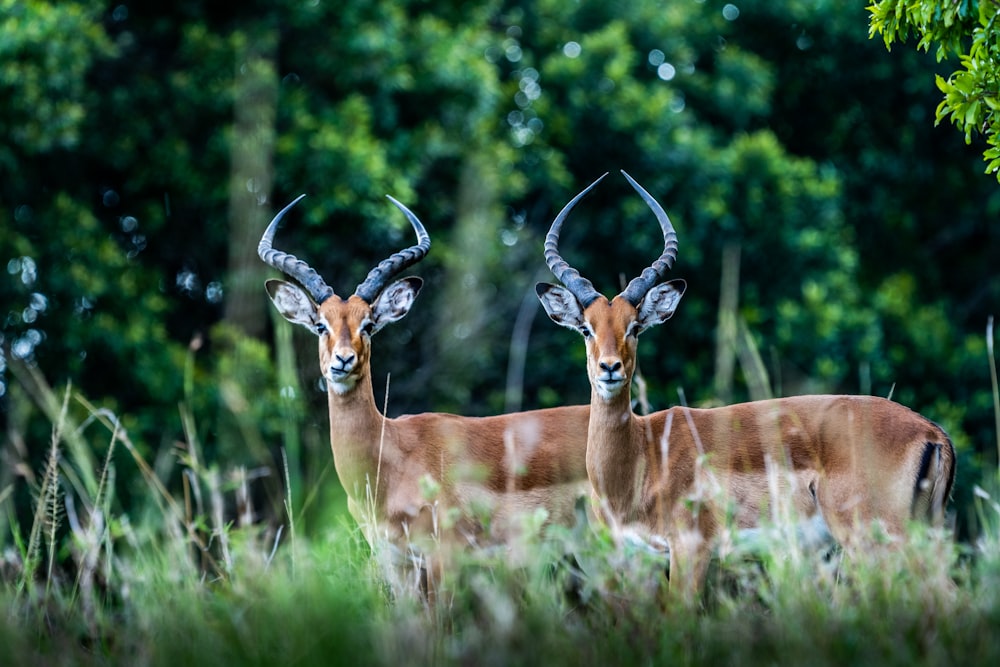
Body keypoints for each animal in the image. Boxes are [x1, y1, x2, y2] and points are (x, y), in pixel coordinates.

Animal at [258, 193, 592, 596]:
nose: (343, 360)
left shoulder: (443, 559)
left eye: (368, 324)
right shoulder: (396, 564)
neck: (390, 458)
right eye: (321, 325)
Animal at [536, 170, 956, 604]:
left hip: (877, 537)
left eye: (635, 327)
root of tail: (933, 433)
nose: (609, 368)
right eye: (586, 328)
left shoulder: (691, 548)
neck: (644, 454)